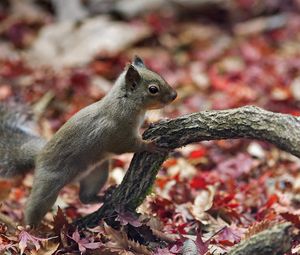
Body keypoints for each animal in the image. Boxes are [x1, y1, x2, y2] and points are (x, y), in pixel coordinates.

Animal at [0, 56, 177, 226]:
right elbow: (126, 145)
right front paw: (150, 145)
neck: (125, 103)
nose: (174, 95)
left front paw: (154, 122)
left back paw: (105, 195)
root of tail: (39, 156)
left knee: (85, 197)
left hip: (97, 173)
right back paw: (31, 230)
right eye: (153, 89)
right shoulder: (117, 132)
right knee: (35, 205)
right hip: (48, 183)